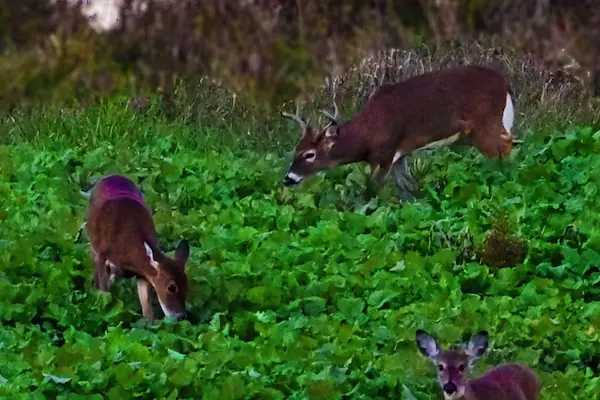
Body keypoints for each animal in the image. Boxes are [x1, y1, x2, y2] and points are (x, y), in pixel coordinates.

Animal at [84, 175, 190, 322]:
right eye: (171, 287)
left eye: (187, 284)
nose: (180, 316)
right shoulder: (101, 254)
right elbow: (104, 292)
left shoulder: (143, 273)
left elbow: (147, 309)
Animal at [280, 64, 516, 195]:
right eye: (295, 150)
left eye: (310, 154)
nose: (288, 178)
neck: (367, 135)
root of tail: (505, 84)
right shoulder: (399, 156)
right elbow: (406, 189)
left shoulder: (384, 155)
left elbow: (373, 190)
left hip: (486, 125)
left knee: (505, 149)